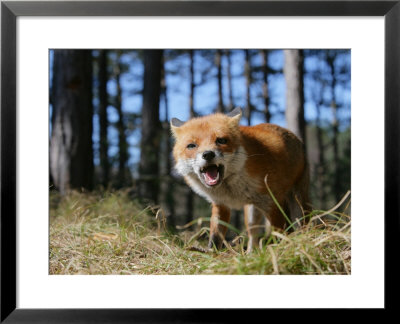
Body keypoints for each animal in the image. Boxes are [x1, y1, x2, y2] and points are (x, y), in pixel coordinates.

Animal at [170, 107, 310, 252]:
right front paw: (211, 253)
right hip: (252, 213)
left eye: (221, 140)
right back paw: (250, 253)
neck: (232, 190)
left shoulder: (272, 203)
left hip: (299, 201)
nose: (208, 154)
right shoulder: (221, 204)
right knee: (253, 235)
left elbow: (279, 234)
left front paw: (278, 250)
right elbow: (215, 236)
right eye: (192, 145)